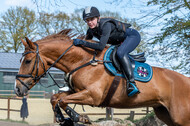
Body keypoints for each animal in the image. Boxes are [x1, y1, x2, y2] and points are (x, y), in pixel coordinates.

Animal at [14, 29, 190, 126]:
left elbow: (62, 100)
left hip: (181, 117)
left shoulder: (93, 96)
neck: (83, 61)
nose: (17, 89)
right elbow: (56, 98)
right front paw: (61, 117)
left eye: (28, 61)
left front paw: (80, 118)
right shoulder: (77, 91)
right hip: (164, 114)